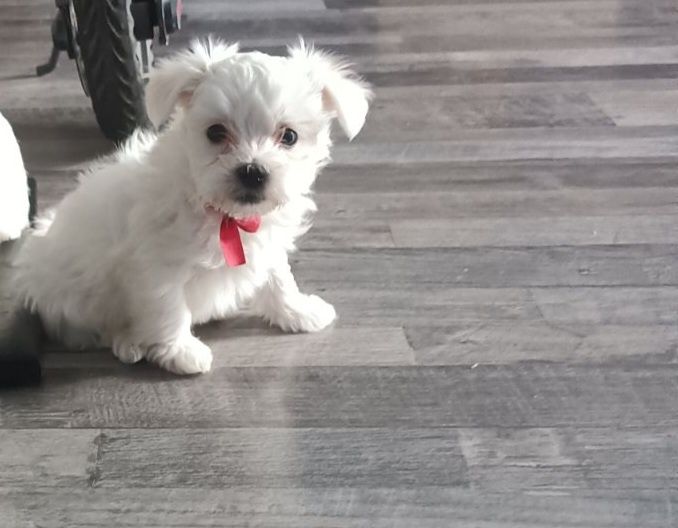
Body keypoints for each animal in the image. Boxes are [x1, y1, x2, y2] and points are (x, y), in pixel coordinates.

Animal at [14, 38, 371, 374]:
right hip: (71, 298)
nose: (252, 171)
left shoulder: (265, 244)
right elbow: (168, 306)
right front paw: (180, 351)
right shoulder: (155, 266)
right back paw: (129, 342)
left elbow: (278, 276)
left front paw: (297, 310)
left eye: (290, 136)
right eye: (215, 132)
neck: (222, 213)